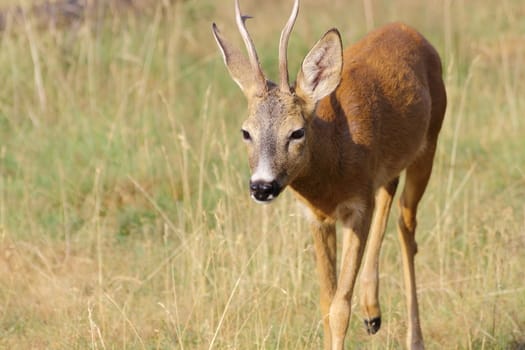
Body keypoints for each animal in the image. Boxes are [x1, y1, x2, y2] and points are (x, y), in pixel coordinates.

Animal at [211, 1, 444, 348]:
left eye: (296, 132)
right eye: (246, 132)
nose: (262, 186)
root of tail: (410, 30)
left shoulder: (357, 207)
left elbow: (339, 307)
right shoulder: (317, 217)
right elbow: (325, 301)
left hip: (429, 143)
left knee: (407, 227)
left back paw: (413, 338)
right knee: (390, 195)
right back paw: (372, 312)